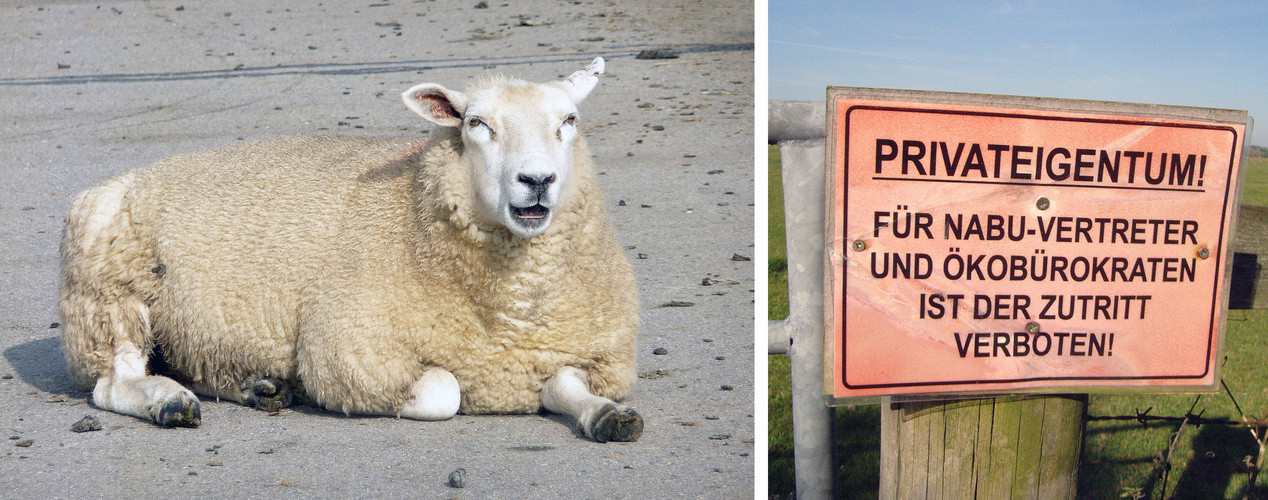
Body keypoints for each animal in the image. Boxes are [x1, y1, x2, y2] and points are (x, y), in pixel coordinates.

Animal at [57, 56, 644, 444]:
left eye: (569, 121)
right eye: (476, 123)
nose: (537, 181)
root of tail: (111, 183)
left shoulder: (577, 353)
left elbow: (568, 386)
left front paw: (607, 416)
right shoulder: (352, 353)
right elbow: (444, 393)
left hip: (191, 332)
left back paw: (260, 387)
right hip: (110, 295)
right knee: (113, 383)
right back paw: (169, 402)